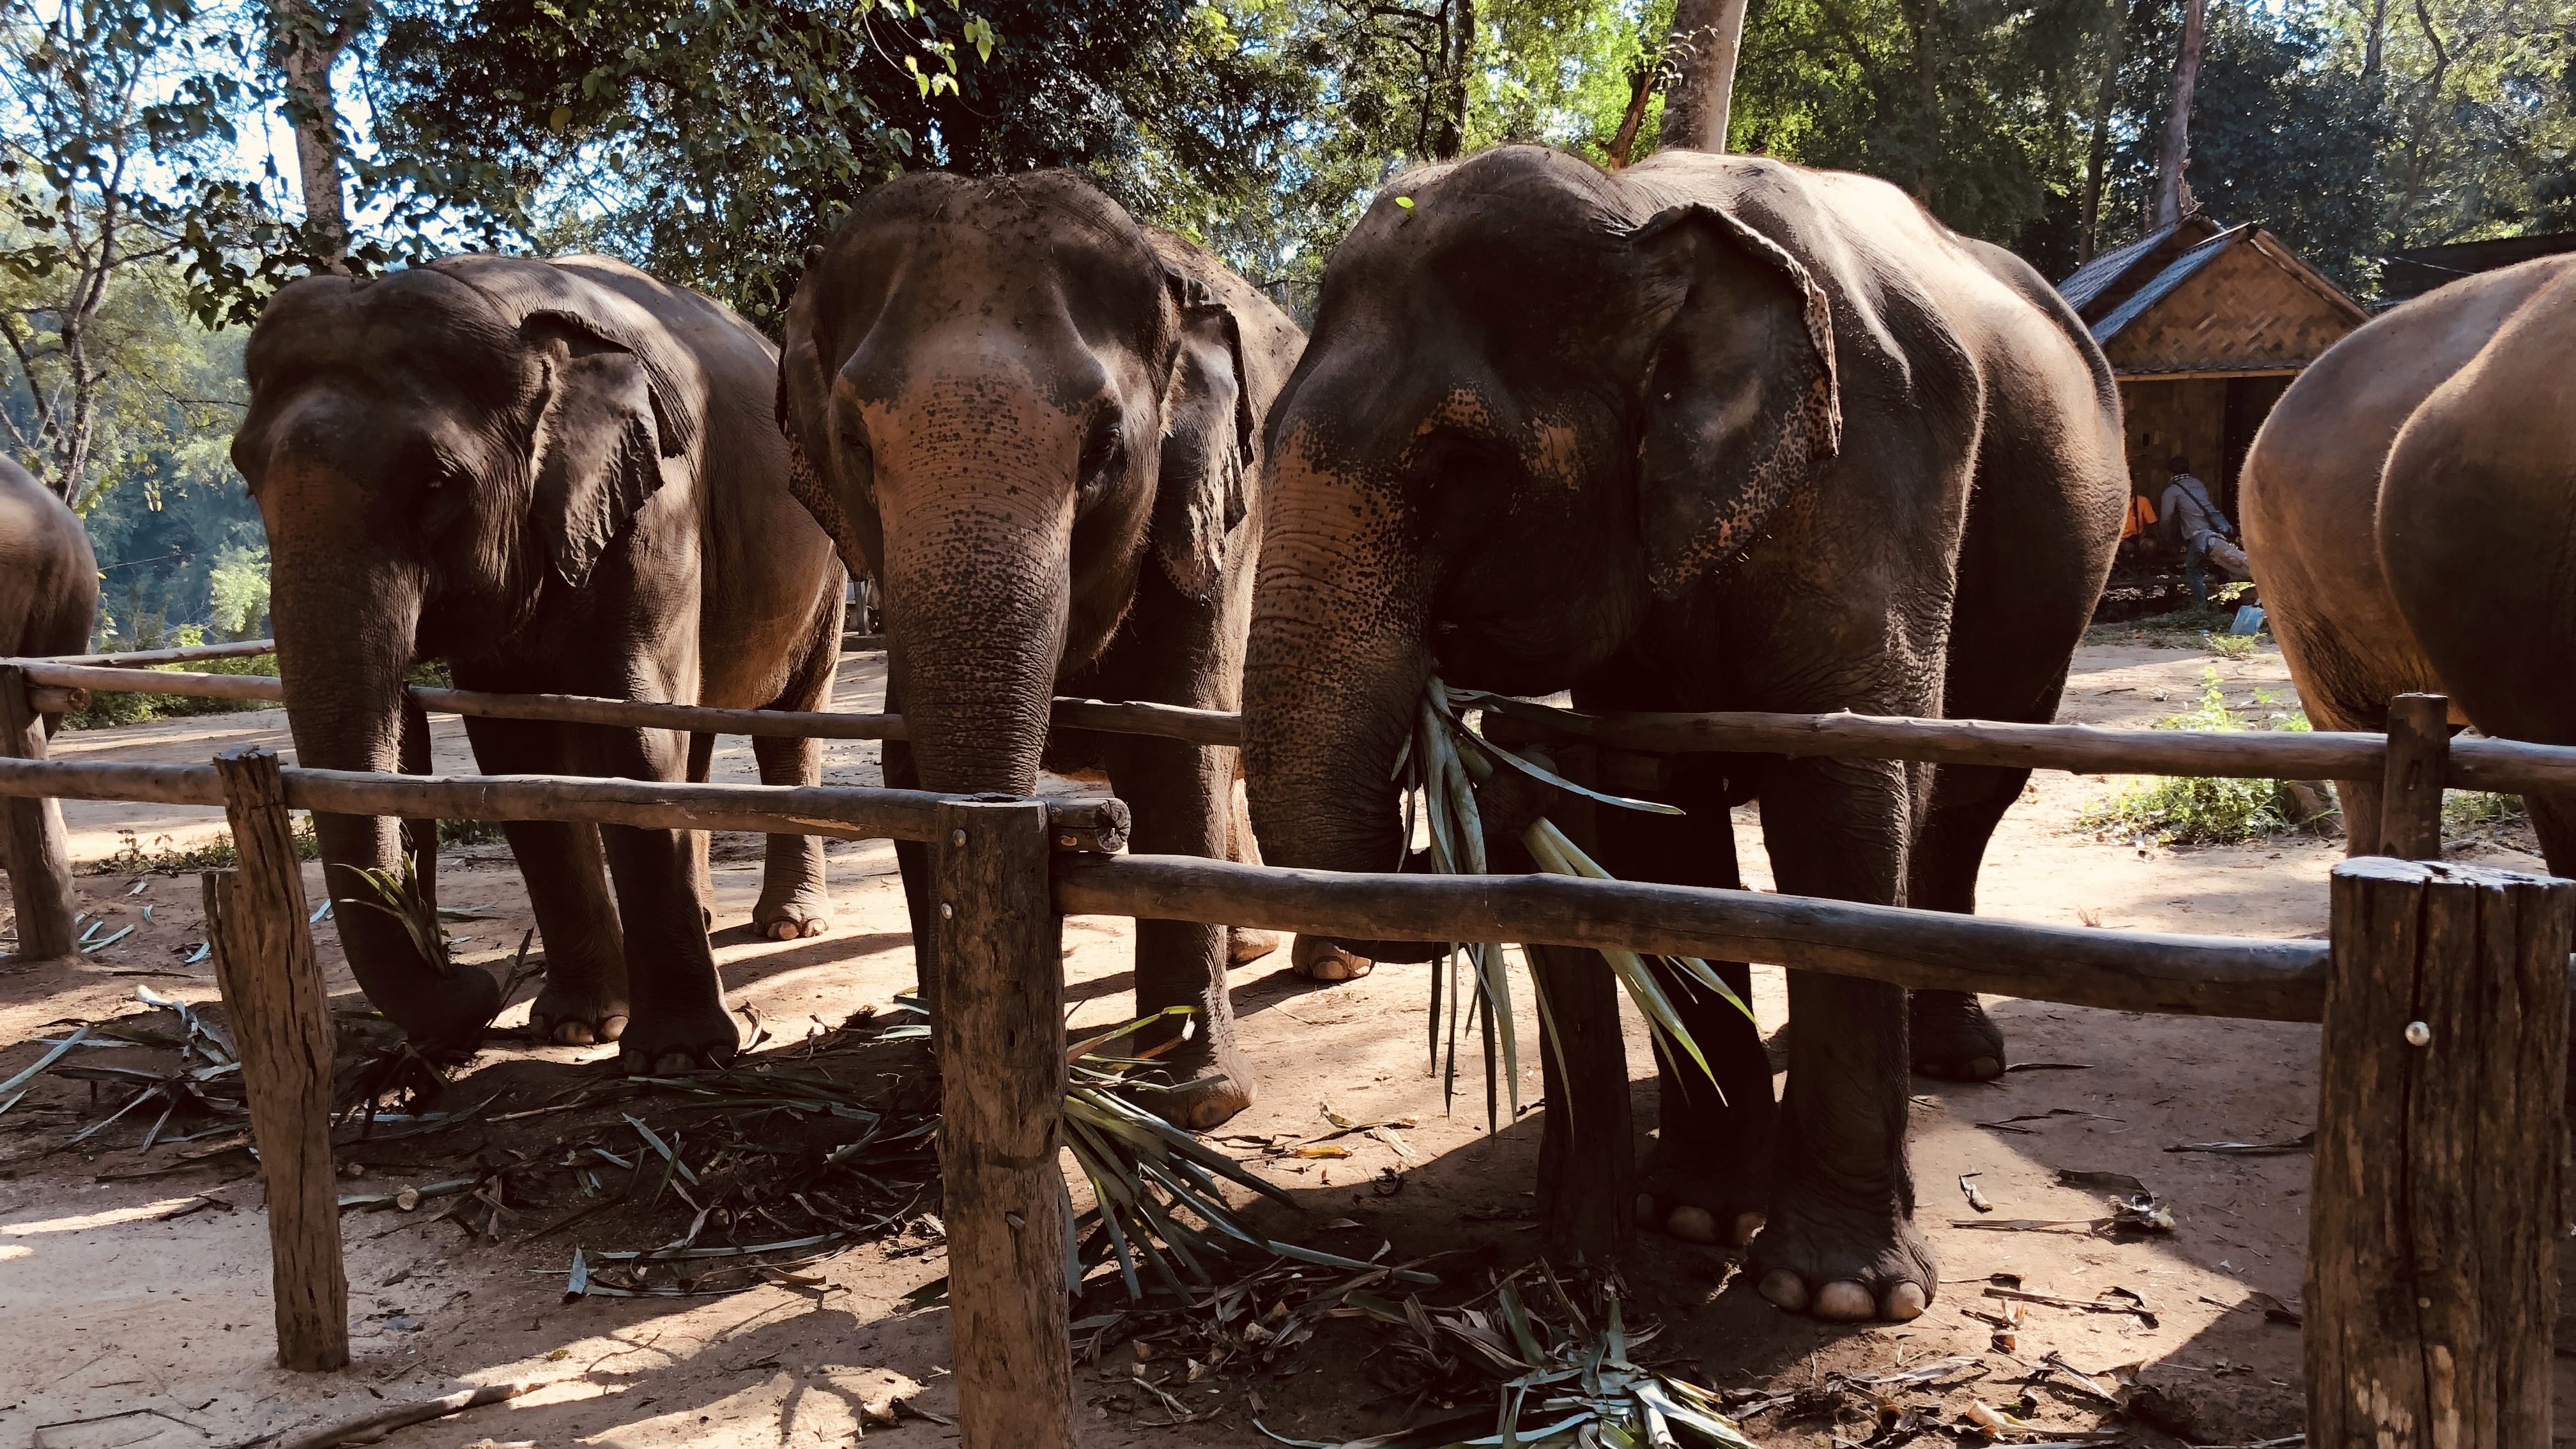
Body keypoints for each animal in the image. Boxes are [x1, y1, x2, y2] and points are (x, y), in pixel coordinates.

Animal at [231, 254, 846, 1071]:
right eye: (246, 477)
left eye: (438, 485)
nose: (472, 982)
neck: (516, 321)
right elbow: (516, 753)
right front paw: (576, 1029)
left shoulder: (659, 502)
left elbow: (632, 737)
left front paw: (676, 1057)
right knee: (698, 732)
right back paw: (713, 921)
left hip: (825, 561)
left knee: (789, 720)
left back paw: (791, 926)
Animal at [778, 169, 1351, 1129]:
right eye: (854, 444)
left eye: (1104, 450)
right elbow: (907, 768)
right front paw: (939, 1081)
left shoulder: (1212, 522)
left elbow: (1175, 752)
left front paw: (1191, 1098)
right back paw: (1248, 949)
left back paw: (1334, 961)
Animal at [1240, 146, 2127, 1321]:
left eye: (1455, 467)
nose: (1486, 776)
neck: (1643, 211)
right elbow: (1657, 802)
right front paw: (1695, 1215)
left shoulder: (1877, 462)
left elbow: (1843, 809)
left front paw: (1837, 1296)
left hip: (2057, 595)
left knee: (1971, 797)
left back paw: (1959, 1059)